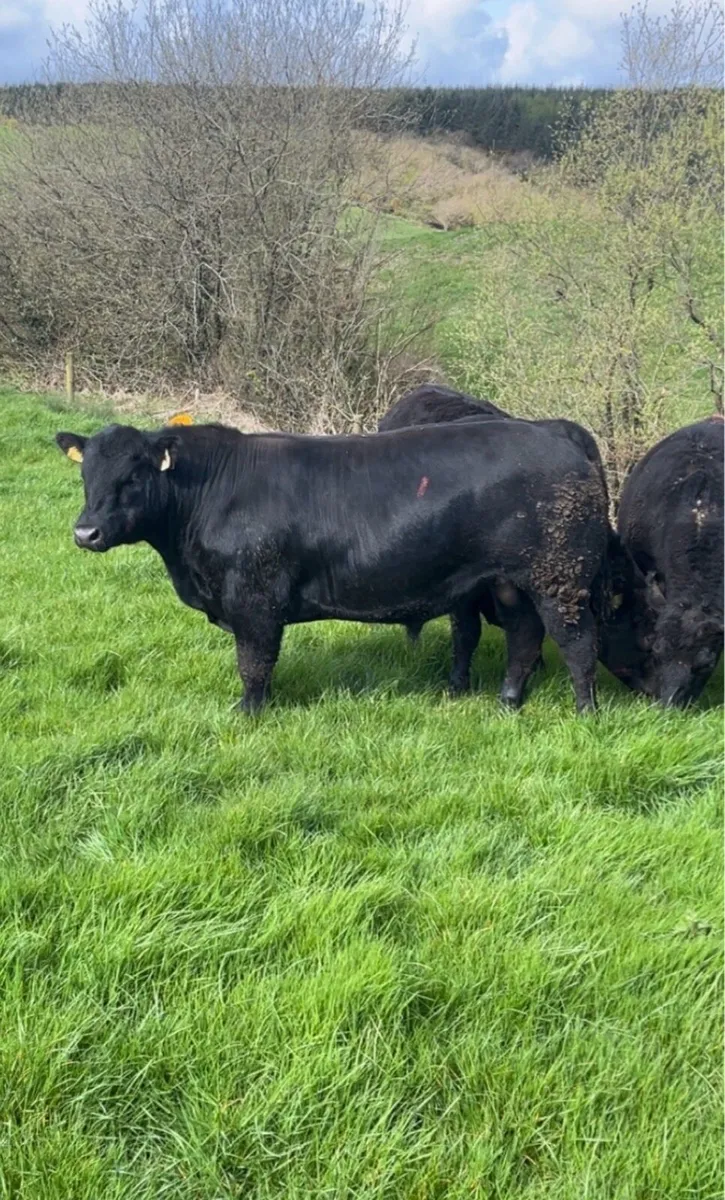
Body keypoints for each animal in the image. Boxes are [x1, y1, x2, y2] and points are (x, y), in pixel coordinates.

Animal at [56, 417, 610, 714]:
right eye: (86, 473)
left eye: (132, 475)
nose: (86, 533)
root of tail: (552, 430)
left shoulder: (254, 600)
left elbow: (253, 663)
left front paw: (249, 713)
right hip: (508, 582)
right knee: (524, 636)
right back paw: (508, 702)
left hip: (559, 579)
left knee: (578, 644)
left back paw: (584, 712)